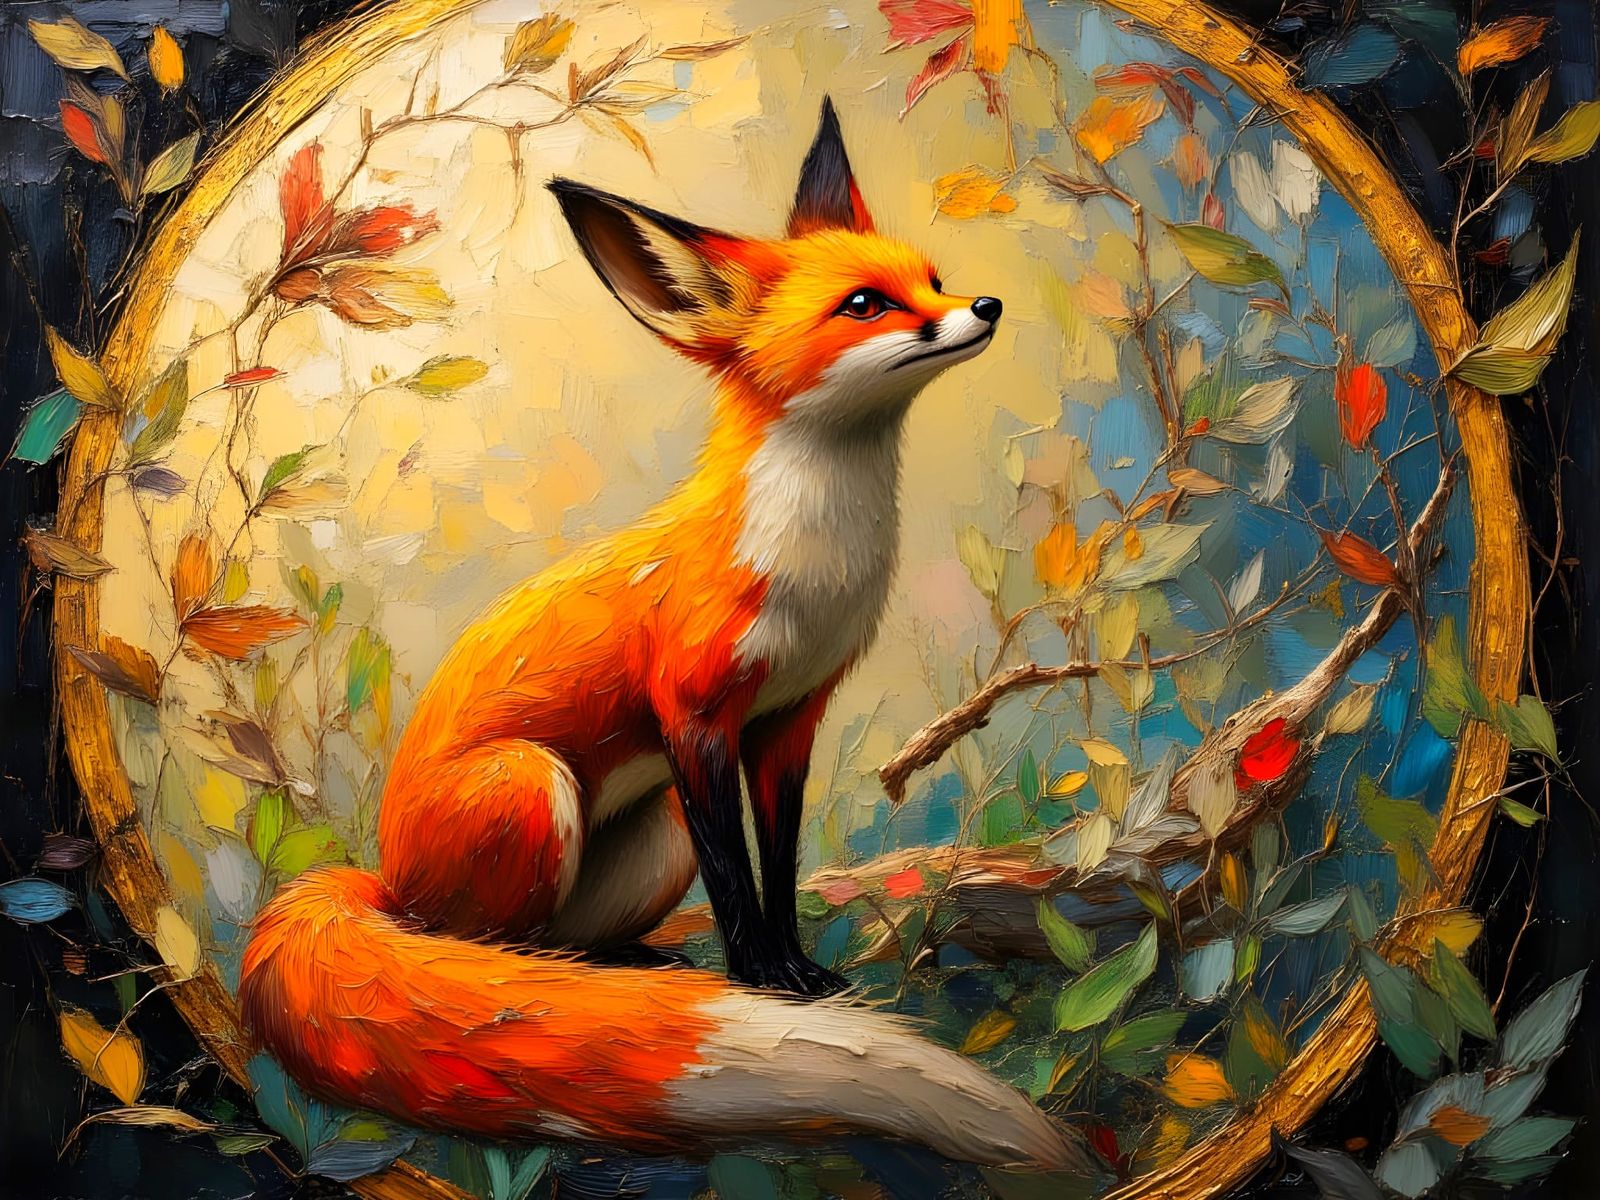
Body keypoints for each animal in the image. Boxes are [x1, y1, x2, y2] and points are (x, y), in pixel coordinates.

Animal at [239, 99, 1092, 1173]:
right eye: (864, 305)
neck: (815, 564)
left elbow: (777, 868)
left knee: (570, 945)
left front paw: (799, 970)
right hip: (533, 789)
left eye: (930, 278)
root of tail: (382, 882)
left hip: (653, 839)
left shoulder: (788, 724)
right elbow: (737, 881)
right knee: (485, 951)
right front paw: (762, 981)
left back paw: (629, 960)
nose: (983, 306)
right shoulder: (695, 715)